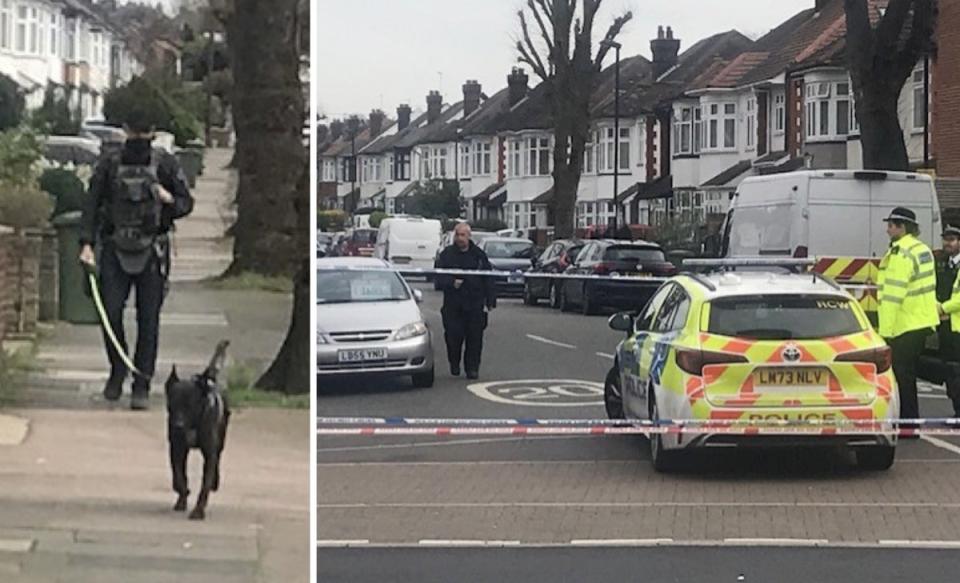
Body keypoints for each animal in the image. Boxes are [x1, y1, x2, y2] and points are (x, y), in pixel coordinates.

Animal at [166, 340, 232, 524]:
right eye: (172, 405)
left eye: (190, 405)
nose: (178, 426)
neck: (194, 423)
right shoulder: (176, 448)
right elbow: (178, 474)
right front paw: (182, 495)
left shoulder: (209, 452)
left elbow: (205, 483)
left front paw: (198, 510)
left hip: (220, 440)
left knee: (217, 460)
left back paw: (215, 481)